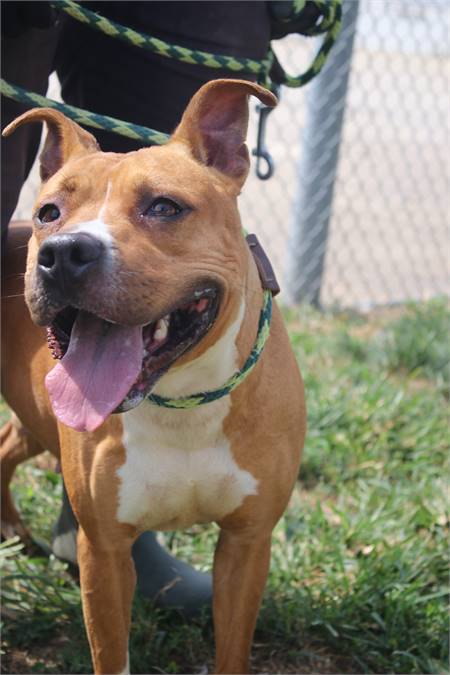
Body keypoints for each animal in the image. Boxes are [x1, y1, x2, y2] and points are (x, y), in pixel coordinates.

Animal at [0, 80, 306, 675]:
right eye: (50, 211)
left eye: (165, 207)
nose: (63, 253)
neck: (182, 397)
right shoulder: (105, 553)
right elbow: (112, 654)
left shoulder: (247, 543)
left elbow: (232, 649)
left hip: (35, 412)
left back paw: (18, 537)